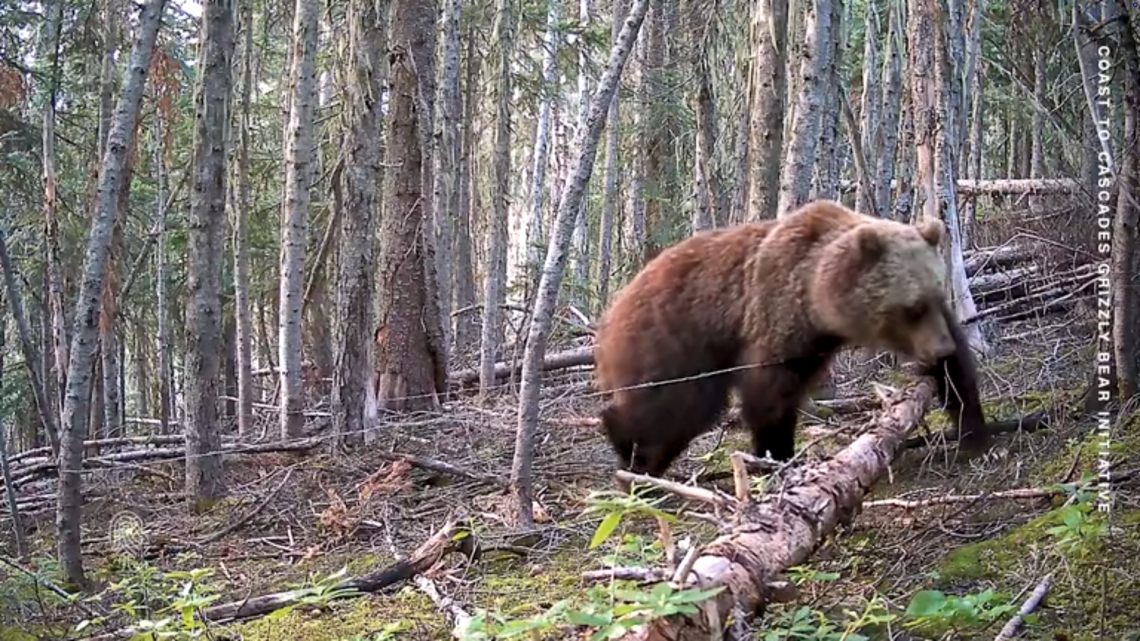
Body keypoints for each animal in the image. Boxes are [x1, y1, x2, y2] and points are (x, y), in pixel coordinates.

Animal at [592, 199, 990, 480]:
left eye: (936, 296)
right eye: (911, 307)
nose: (939, 349)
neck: (818, 299)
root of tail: (613, 310)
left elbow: (960, 373)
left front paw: (974, 431)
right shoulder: (776, 315)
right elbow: (769, 392)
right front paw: (776, 454)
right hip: (673, 341)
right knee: (672, 407)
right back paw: (630, 453)